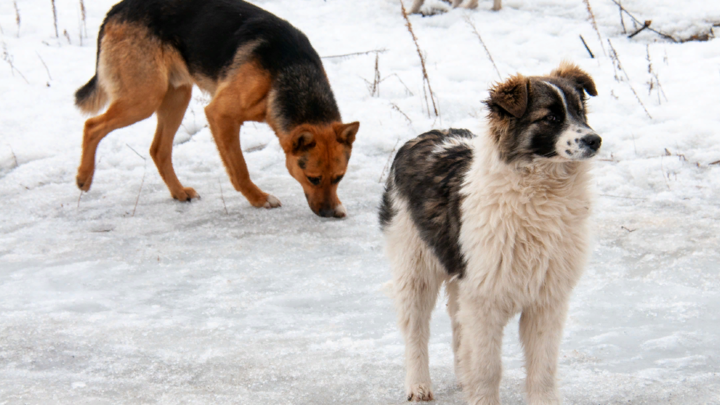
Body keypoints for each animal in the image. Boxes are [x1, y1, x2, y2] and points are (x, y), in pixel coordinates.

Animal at [74, 0, 360, 218]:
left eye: (339, 178)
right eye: (313, 178)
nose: (329, 214)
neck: (290, 71)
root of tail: (117, 8)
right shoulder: (221, 115)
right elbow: (240, 168)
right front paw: (259, 199)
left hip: (177, 96)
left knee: (159, 150)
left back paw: (179, 192)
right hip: (145, 98)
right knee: (92, 126)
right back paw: (84, 178)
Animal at [382, 61, 600, 402]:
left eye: (581, 112)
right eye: (550, 118)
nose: (595, 140)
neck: (540, 192)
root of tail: (424, 136)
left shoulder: (546, 300)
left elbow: (543, 370)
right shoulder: (484, 299)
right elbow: (487, 369)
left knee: (458, 327)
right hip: (414, 268)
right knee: (416, 331)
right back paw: (418, 385)